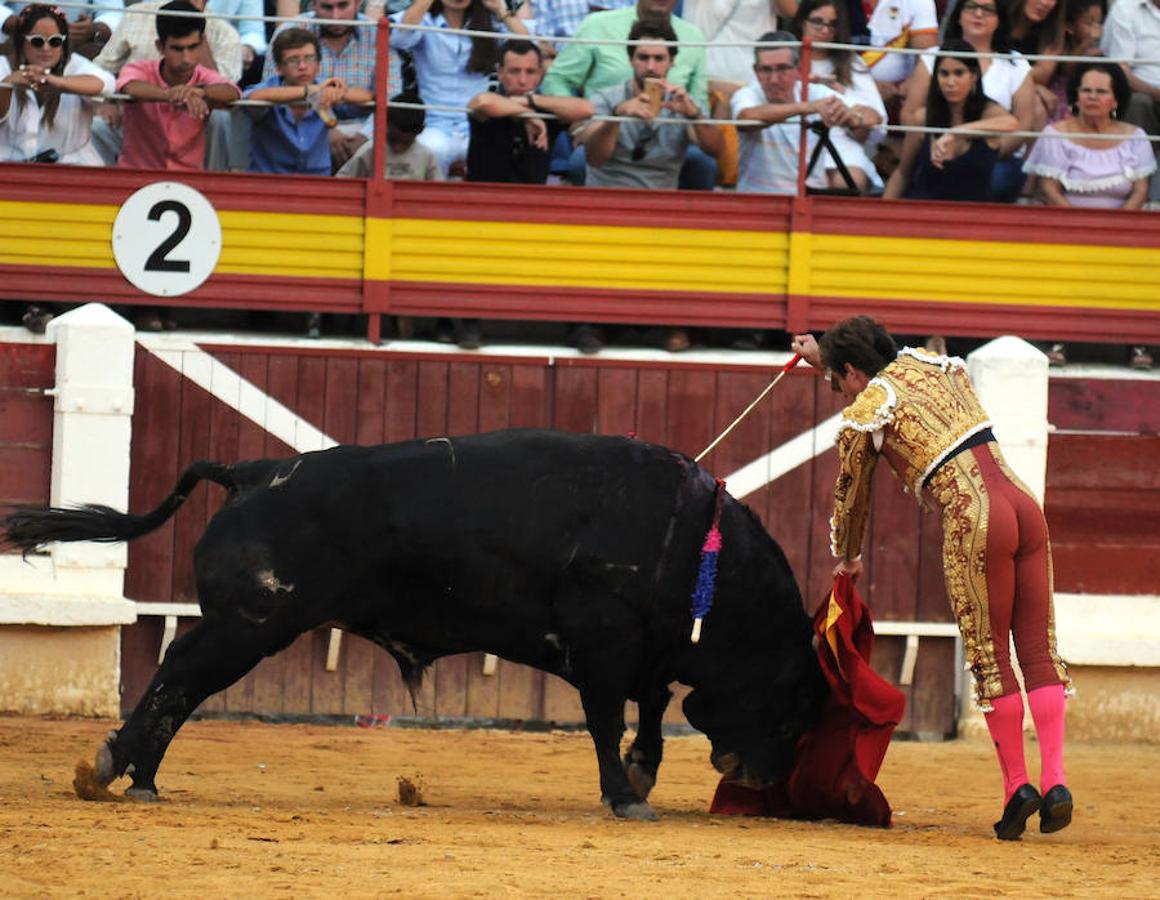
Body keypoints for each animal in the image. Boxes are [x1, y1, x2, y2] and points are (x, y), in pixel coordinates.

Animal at [2, 431, 825, 821]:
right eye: (790, 713)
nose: (760, 778)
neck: (693, 540)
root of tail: (254, 472)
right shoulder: (603, 642)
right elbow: (604, 719)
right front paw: (624, 794)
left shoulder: (648, 648)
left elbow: (651, 707)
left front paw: (643, 774)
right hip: (251, 623)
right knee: (179, 676)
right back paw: (120, 768)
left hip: (246, 624)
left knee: (180, 680)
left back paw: (136, 775)